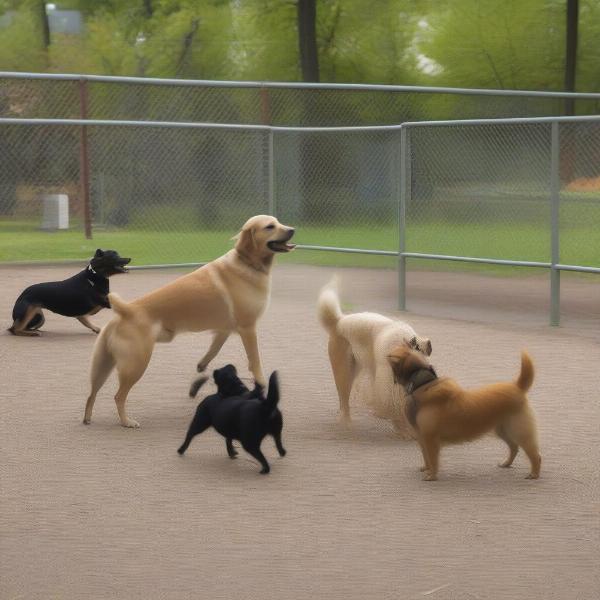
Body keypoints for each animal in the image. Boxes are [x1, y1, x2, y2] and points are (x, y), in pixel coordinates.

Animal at [82, 214, 296, 426]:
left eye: (278, 222)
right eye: (269, 226)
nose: (292, 229)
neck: (246, 263)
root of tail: (126, 310)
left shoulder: (224, 330)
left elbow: (213, 350)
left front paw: (202, 366)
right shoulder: (248, 329)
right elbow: (255, 360)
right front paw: (260, 383)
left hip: (102, 366)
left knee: (91, 395)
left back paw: (88, 418)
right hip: (135, 365)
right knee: (118, 396)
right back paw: (126, 421)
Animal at [318, 276, 432, 436]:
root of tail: (338, 321)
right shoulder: (388, 386)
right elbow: (395, 406)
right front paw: (404, 430)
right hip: (344, 372)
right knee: (344, 401)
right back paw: (346, 424)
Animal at [386, 344, 540, 480]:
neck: (423, 384)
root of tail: (518, 387)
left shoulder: (430, 439)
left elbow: (433, 460)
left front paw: (432, 476)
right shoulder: (422, 438)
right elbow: (427, 458)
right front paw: (427, 469)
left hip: (519, 431)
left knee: (535, 455)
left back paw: (534, 474)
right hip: (503, 430)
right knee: (514, 448)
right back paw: (506, 463)